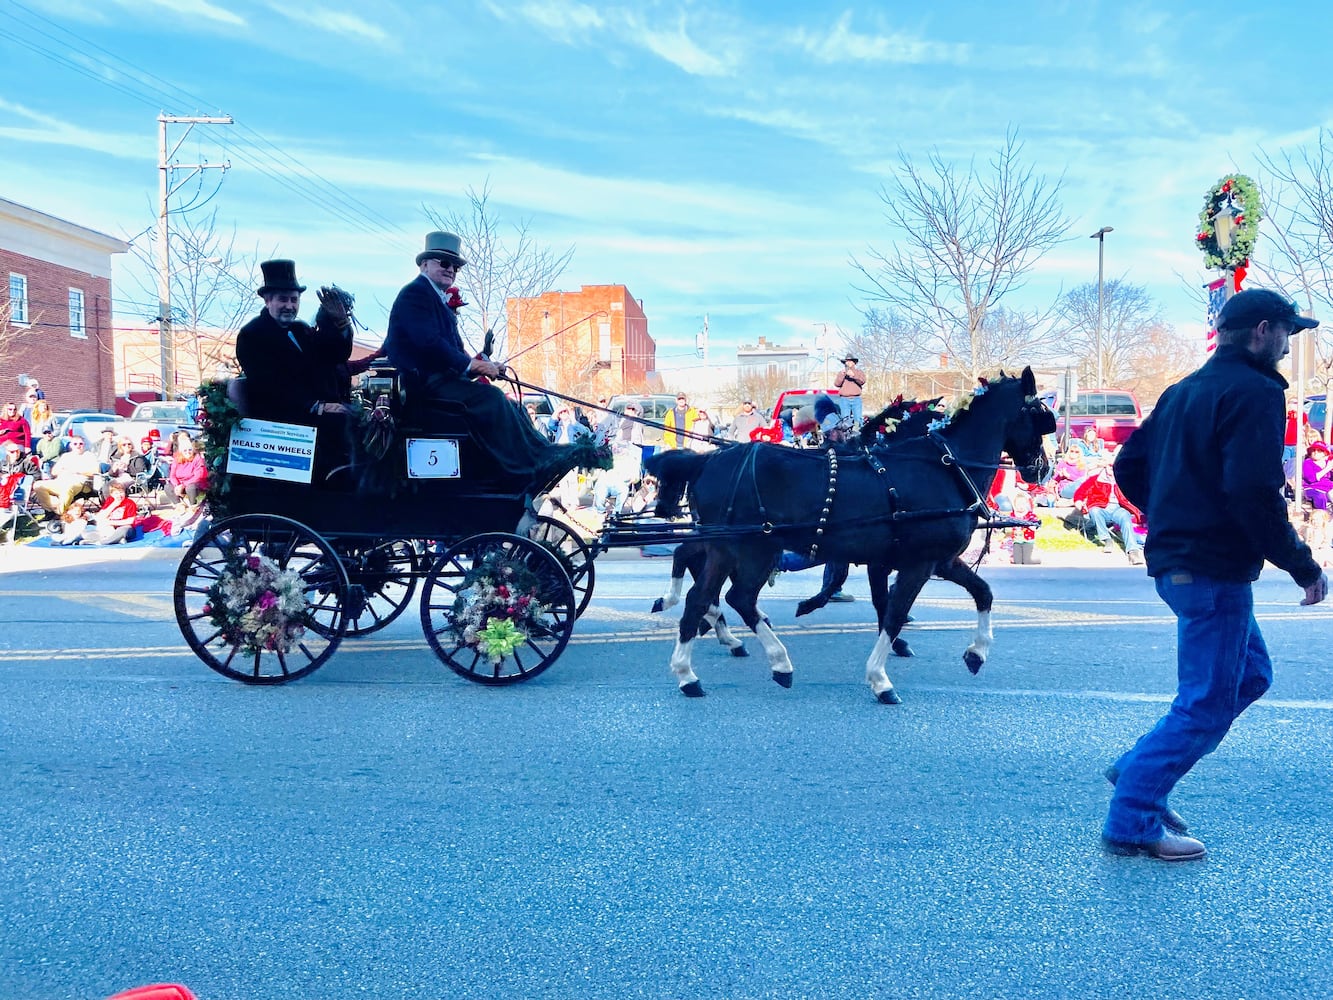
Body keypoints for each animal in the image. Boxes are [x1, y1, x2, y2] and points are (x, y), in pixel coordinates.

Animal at [642, 368, 1050, 704]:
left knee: (700, 598)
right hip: (754, 549)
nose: (1042, 470)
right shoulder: (916, 563)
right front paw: (880, 679)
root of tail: (706, 461)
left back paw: (690, 673)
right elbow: (892, 613)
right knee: (735, 595)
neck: (943, 467)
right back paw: (775, 660)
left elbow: (982, 593)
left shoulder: (939, 560)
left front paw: (976, 653)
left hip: (726, 549)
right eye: (1042, 417)